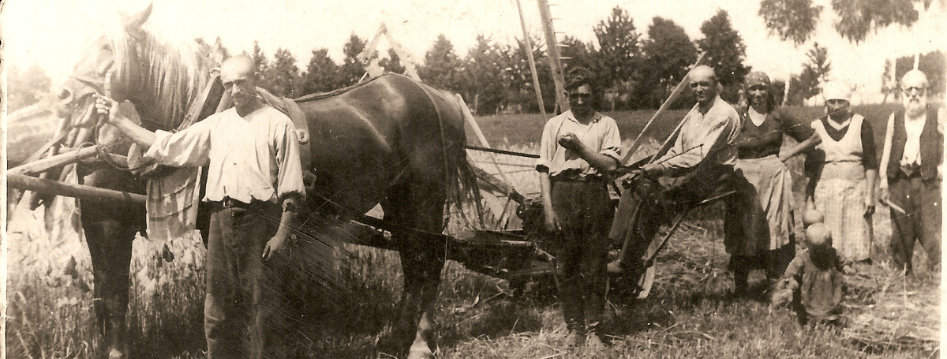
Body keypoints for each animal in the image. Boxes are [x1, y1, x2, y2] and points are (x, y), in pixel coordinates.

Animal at [47, 3, 474, 359]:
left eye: (107, 47)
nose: (62, 96)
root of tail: (440, 96)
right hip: (398, 200)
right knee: (412, 262)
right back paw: (398, 338)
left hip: (425, 197)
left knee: (427, 261)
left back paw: (420, 343)